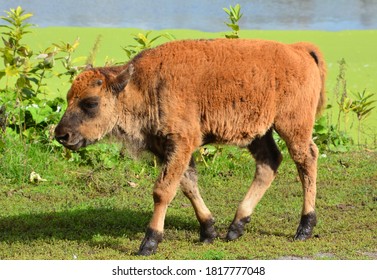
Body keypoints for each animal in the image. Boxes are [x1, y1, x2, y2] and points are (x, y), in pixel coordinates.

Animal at [54, 37, 324, 256]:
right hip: (259, 132)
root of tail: (298, 50)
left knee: (306, 159)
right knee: (269, 162)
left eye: (90, 103)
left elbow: (163, 190)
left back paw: (304, 228)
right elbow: (187, 185)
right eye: (68, 98)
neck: (142, 85)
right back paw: (236, 227)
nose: (61, 135)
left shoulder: (180, 143)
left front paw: (149, 243)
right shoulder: (168, 149)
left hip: (292, 126)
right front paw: (208, 232)